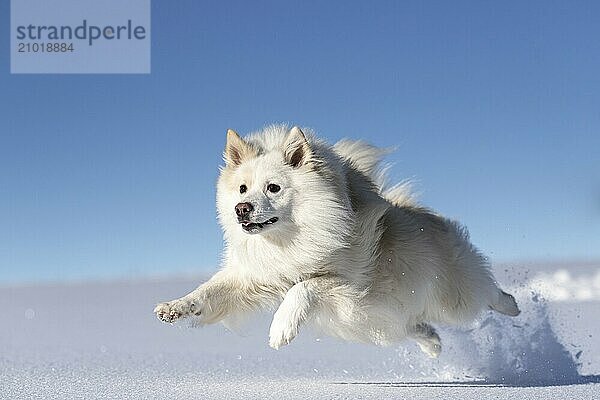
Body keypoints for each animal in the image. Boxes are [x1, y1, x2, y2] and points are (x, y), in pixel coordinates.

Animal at [156, 124, 520, 356]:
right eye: (243, 188)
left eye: (273, 187)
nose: (241, 209)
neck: (290, 240)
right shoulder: (254, 277)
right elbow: (208, 292)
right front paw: (174, 308)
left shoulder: (348, 282)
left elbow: (304, 287)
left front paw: (281, 330)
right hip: (380, 320)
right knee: (415, 325)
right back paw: (433, 345)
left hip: (452, 298)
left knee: (486, 293)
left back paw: (512, 305)